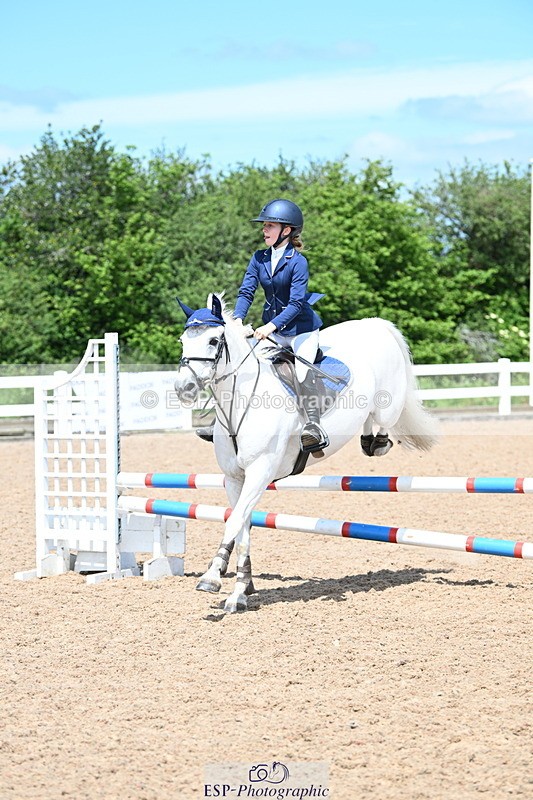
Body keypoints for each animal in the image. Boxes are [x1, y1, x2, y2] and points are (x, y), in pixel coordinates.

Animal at [174, 294, 439, 613]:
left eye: (214, 340)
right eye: (182, 341)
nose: (184, 388)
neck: (241, 402)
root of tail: (374, 325)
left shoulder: (259, 473)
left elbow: (235, 522)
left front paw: (212, 578)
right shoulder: (235, 479)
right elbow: (243, 528)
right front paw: (241, 591)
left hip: (389, 403)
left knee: (384, 419)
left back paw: (377, 442)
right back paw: (367, 439)